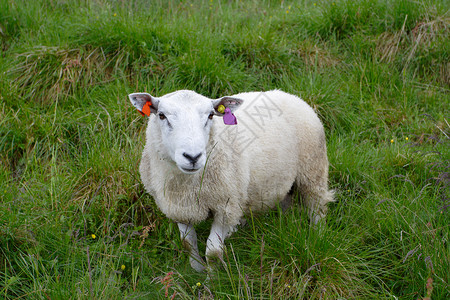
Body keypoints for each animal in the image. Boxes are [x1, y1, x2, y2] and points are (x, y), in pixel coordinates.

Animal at [128, 89, 332, 272]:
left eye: (211, 115)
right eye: (162, 116)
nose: (193, 157)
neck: (187, 185)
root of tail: (292, 95)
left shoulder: (227, 207)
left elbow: (213, 252)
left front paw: (212, 280)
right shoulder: (178, 207)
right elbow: (187, 242)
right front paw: (197, 269)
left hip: (313, 170)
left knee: (317, 207)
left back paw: (318, 237)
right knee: (286, 202)